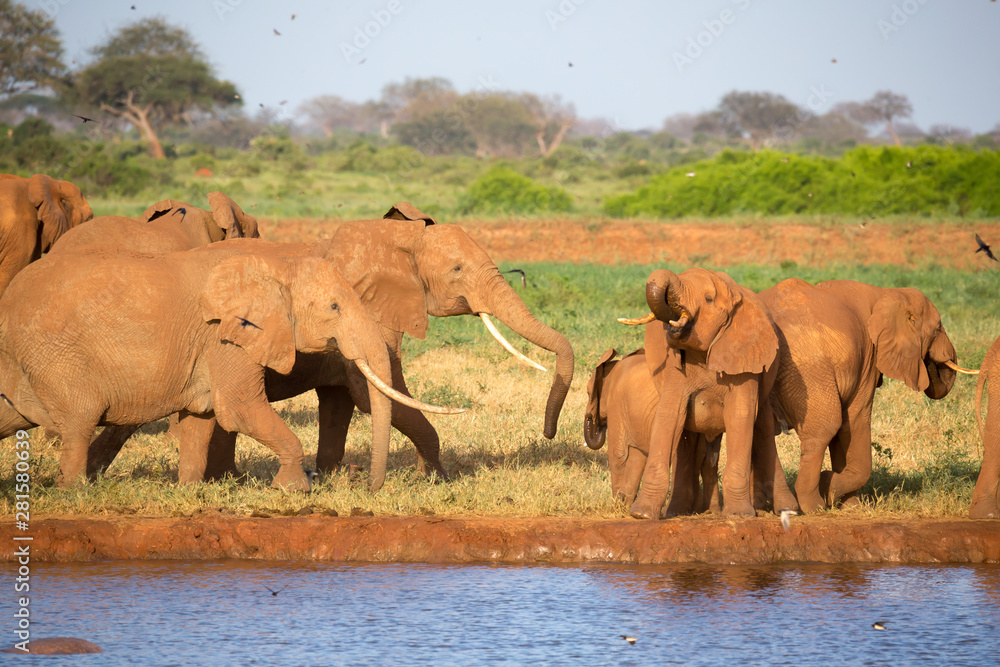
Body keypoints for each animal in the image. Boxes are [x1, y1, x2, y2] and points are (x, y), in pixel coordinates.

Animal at [0, 245, 415, 492]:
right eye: (334, 307)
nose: (366, 484)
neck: (278, 264)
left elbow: (202, 416)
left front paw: (188, 491)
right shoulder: (226, 335)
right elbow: (239, 407)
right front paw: (294, 489)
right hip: (56, 356)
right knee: (79, 421)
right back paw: (76, 494)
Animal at [584, 347, 721, 513]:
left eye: (588, 393)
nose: (593, 420)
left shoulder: (615, 404)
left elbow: (619, 454)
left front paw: (618, 506)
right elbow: (638, 454)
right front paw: (625, 505)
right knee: (705, 459)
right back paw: (707, 511)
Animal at [621, 268, 799, 519]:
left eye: (708, 299)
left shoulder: (744, 362)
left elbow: (740, 416)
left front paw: (739, 516)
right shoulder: (676, 366)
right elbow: (669, 415)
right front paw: (642, 515)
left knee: (762, 431)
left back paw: (786, 510)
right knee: (686, 442)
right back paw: (679, 511)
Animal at [758, 279, 971, 514]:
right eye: (938, 328)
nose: (931, 361)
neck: (887, 292)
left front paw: (849, 505)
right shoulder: (868, 358)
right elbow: (854, 420)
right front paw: (831, 488)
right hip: (808, 370)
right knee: (824, 428)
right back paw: (814, 507)